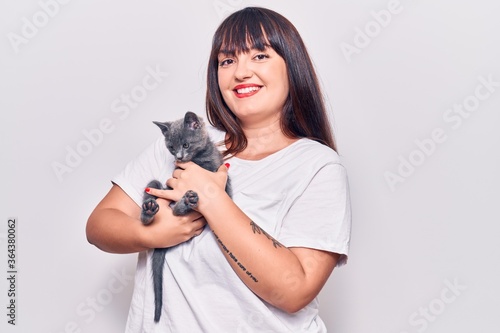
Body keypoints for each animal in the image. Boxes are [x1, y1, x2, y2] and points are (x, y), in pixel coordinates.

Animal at [139, 111, 230, 322]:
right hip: (156, 185)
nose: (179, 157)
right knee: (158, 199)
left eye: (186, 145)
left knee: (178, 210)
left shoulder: (217, 176)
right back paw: (150, 210)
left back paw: (185, 202)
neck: (197, 159)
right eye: (171, 148)